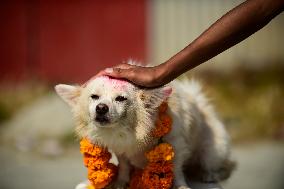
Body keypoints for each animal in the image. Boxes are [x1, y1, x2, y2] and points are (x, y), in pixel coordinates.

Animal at [54, 69, 234, 188]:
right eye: (94, 97)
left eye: (121, 99)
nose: (101, 108)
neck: (130, 131)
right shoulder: (122, 149)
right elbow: (124, 166)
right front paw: (121, 182)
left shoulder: (176, 146)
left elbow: (176, 170)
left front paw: (181, 186)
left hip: (212, 151)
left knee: (217, 165)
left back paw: (209, 174)